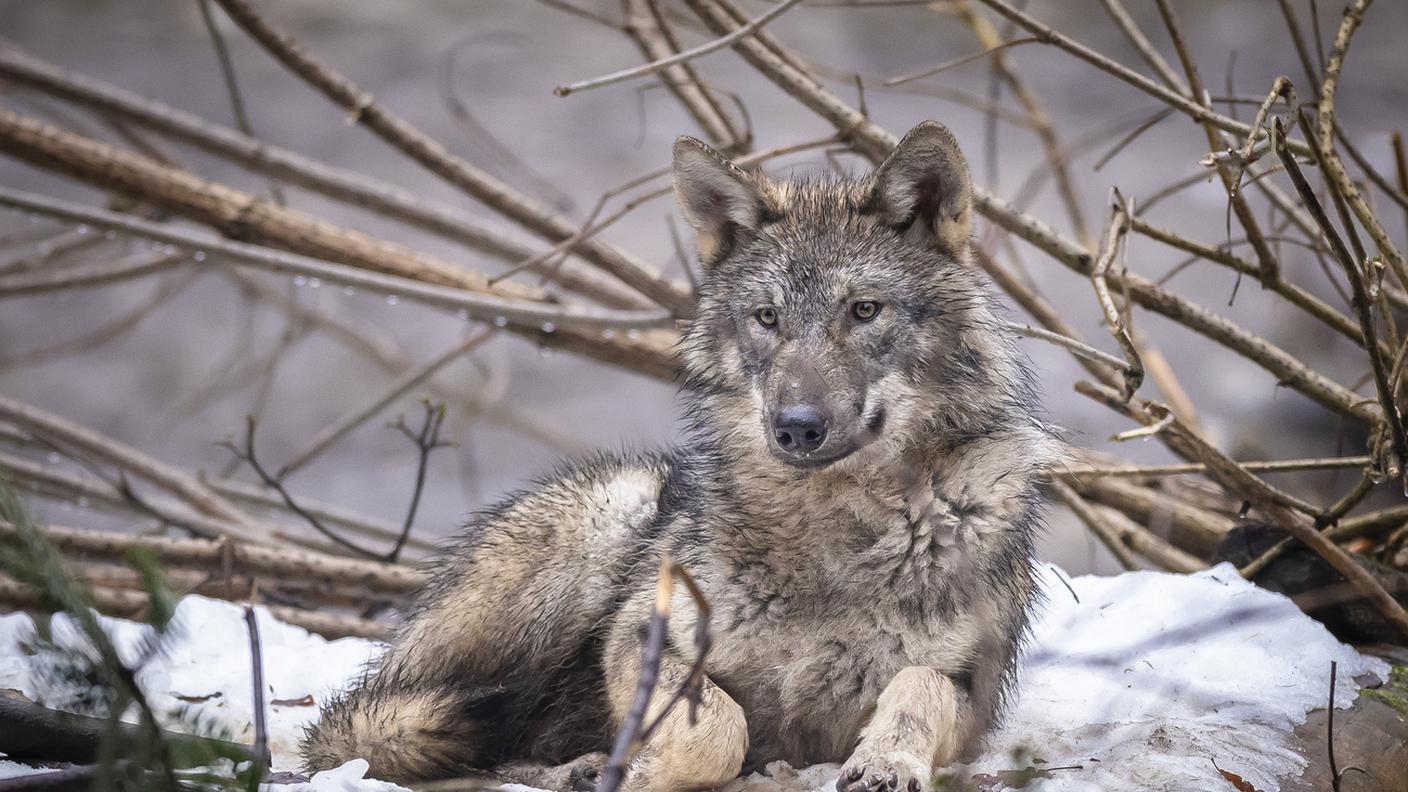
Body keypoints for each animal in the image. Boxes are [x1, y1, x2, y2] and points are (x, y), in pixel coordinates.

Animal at [301, 121, 1056, 792]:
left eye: (864, 310)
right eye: (767, 318)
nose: (796, 428)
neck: (834, 536)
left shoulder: (971, 689)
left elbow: (917, 687)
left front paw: (887, 763)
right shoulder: (639, 636)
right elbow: (719, 730)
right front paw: (643, 772)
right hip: (607, 519)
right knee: (394, 735)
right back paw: (575, 768)